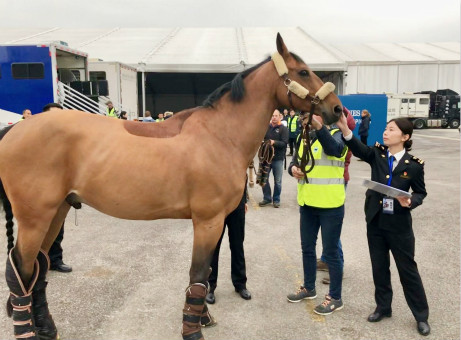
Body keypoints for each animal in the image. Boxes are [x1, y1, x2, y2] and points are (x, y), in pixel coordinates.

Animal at [0, 32, 340, 340]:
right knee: (21, 271)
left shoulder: (214, 222)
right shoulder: (208, 221)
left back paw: (47, 329)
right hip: (35, 219)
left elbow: (204, 273)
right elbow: (199, 273)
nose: (337, 110)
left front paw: (202, 318)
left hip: (55, 213)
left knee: (38, 268)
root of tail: (13, 131)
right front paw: (193, 330)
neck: (220, 135)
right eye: (303, 72)